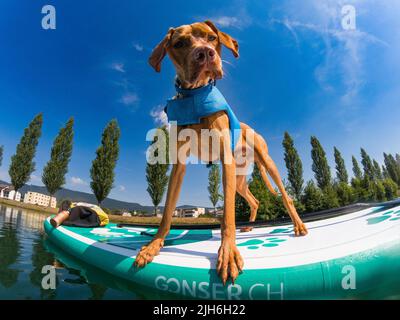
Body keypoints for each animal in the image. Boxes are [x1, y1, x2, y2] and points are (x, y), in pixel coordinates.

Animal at [135, 21, 310, 284]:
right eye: (179, 43)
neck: (195, 97)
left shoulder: (225, 161)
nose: (205, 53)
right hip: (239, 181)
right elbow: (166, 213)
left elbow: (227, 216)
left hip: (266, 164)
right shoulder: (179, 167)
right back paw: (249, 226)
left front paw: (227, 253)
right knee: (254, 200)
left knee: (286, 197)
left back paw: (297, 225)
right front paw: (154, 245)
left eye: (211, 38)